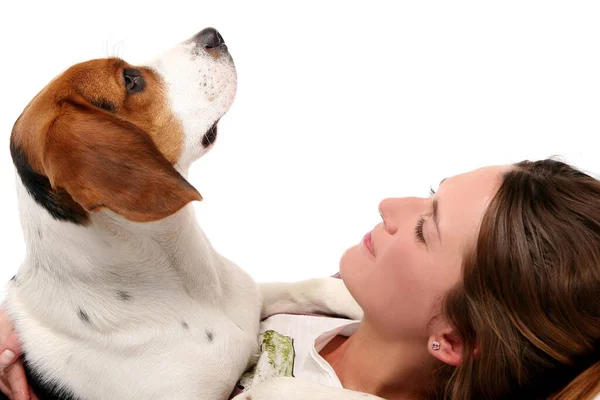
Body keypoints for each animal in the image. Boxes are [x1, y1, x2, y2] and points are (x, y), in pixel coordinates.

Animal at [3, 26, 370, 398]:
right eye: (131, 80)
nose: (212, 34)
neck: (193, 288)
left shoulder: (252, 297)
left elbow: (310, 285)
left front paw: (359, 299)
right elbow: (275, 384)